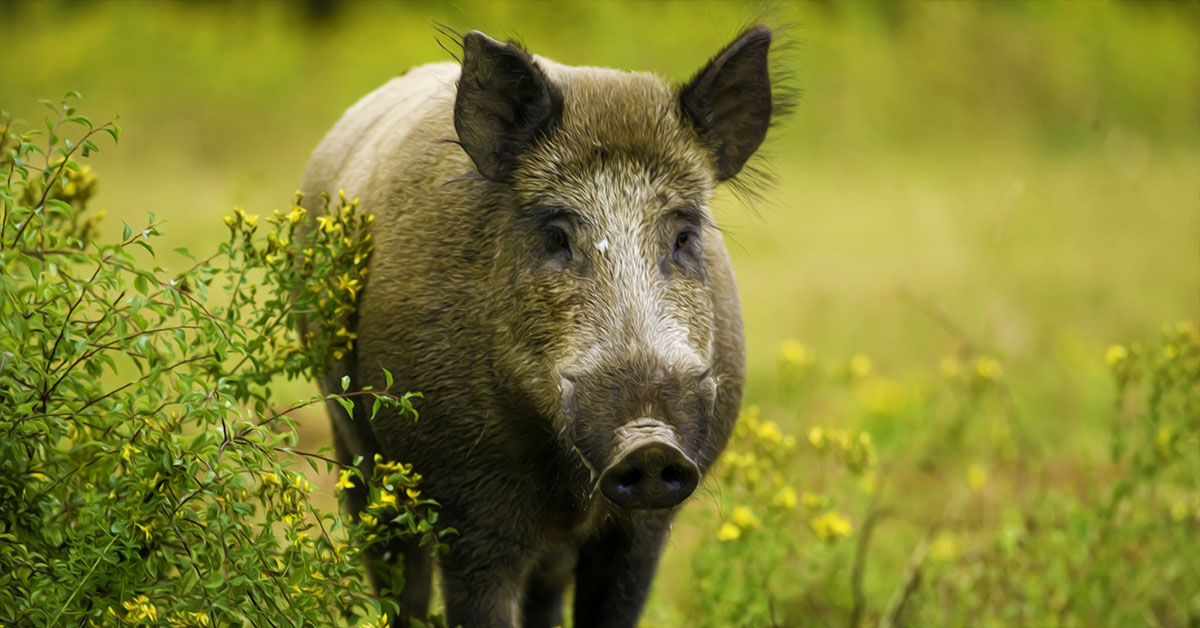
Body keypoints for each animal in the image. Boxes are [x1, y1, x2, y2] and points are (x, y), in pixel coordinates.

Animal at [298, 25, 780, 628]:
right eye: (555, 236)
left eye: (684, 236)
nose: (649, 444)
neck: (573, 485)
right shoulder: (468, 502)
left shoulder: (646, 526)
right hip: (353, 446)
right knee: (397, 582)